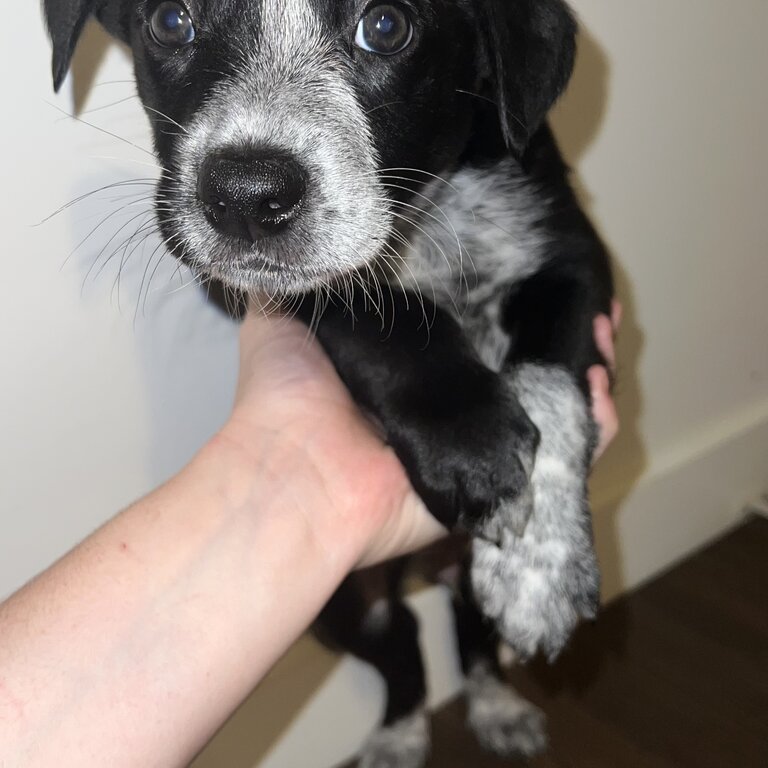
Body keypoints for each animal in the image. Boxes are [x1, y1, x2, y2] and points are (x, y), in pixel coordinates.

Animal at [46, 0, 612, 760]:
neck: (433, 216)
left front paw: (537, 577)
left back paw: (496, 706)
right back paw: (399, 736)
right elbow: (382, 316)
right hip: (346, 606)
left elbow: (551, 391)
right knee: (403, 644)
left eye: (387, 27)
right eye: (170, 22)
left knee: (468, 627)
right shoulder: (260, 287)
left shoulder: (576, 263)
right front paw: (469, 435)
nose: (245, 195)